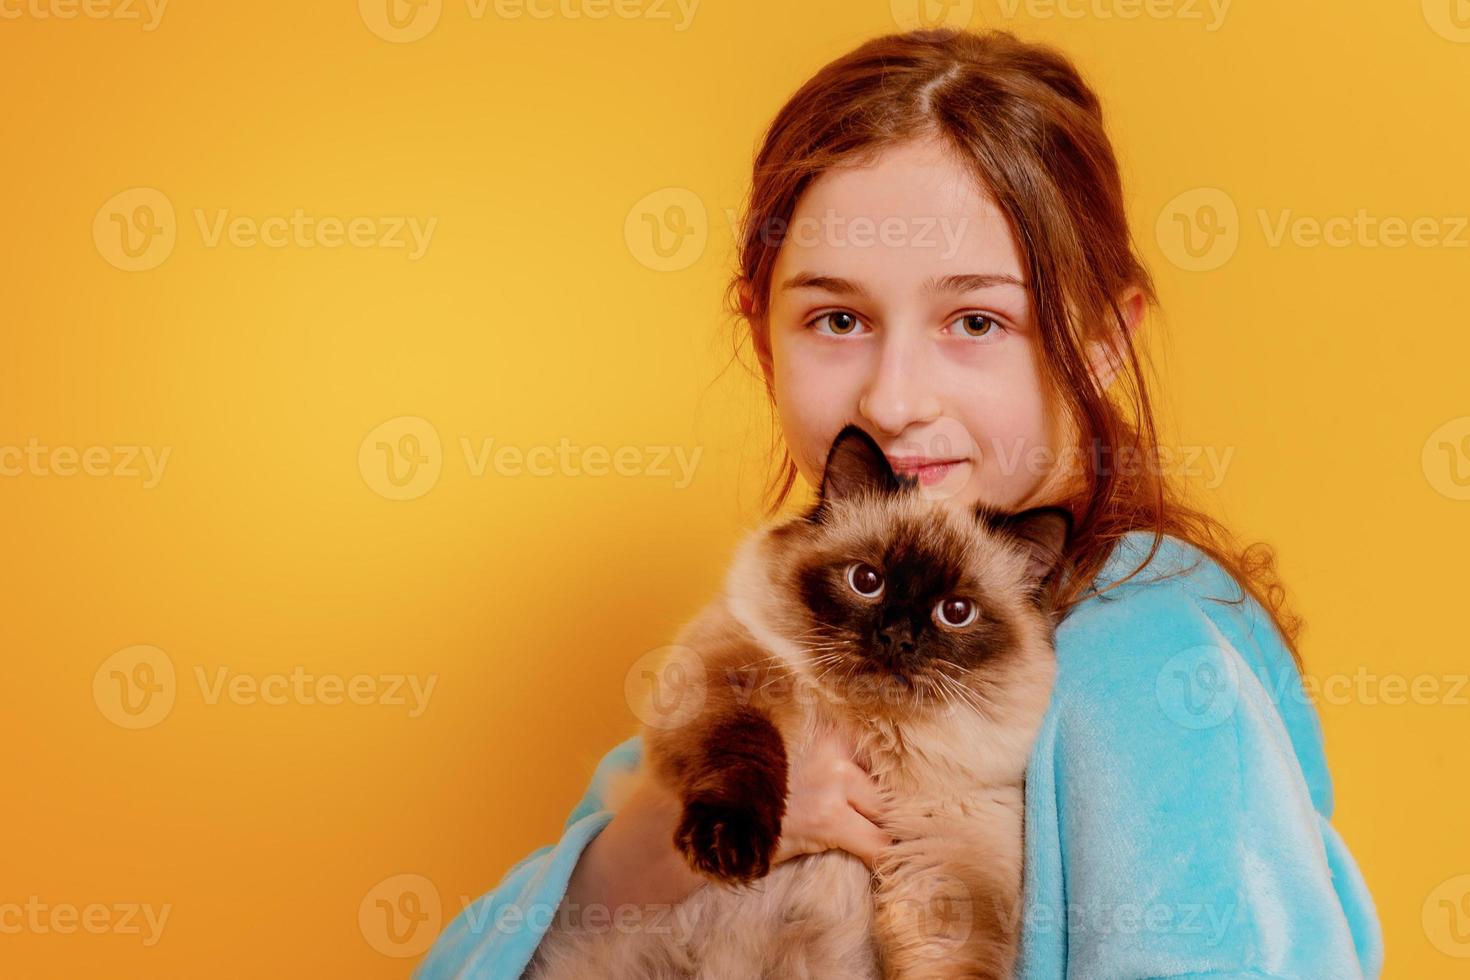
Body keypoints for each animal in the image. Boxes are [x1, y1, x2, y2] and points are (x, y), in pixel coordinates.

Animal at [529, 426, 1070, 975]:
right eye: (866, 582)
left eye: (956, 612)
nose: (897, 637)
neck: (868, 728)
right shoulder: (734, 683)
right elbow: (745, 754)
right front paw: (731, 848)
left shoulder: (946, 867)